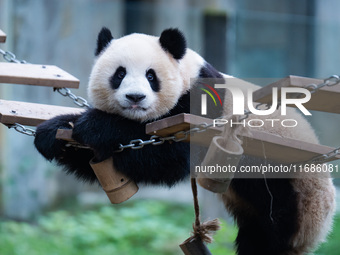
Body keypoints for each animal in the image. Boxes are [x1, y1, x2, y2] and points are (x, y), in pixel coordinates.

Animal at [33, 27, 334, 255]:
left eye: (150, 75)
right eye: (119, 74)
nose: (135, 98)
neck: (189, 72)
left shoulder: (204, 102)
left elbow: (173, 157)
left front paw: (94, 126)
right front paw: (53, 133)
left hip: (291, 187)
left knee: (273, 229)